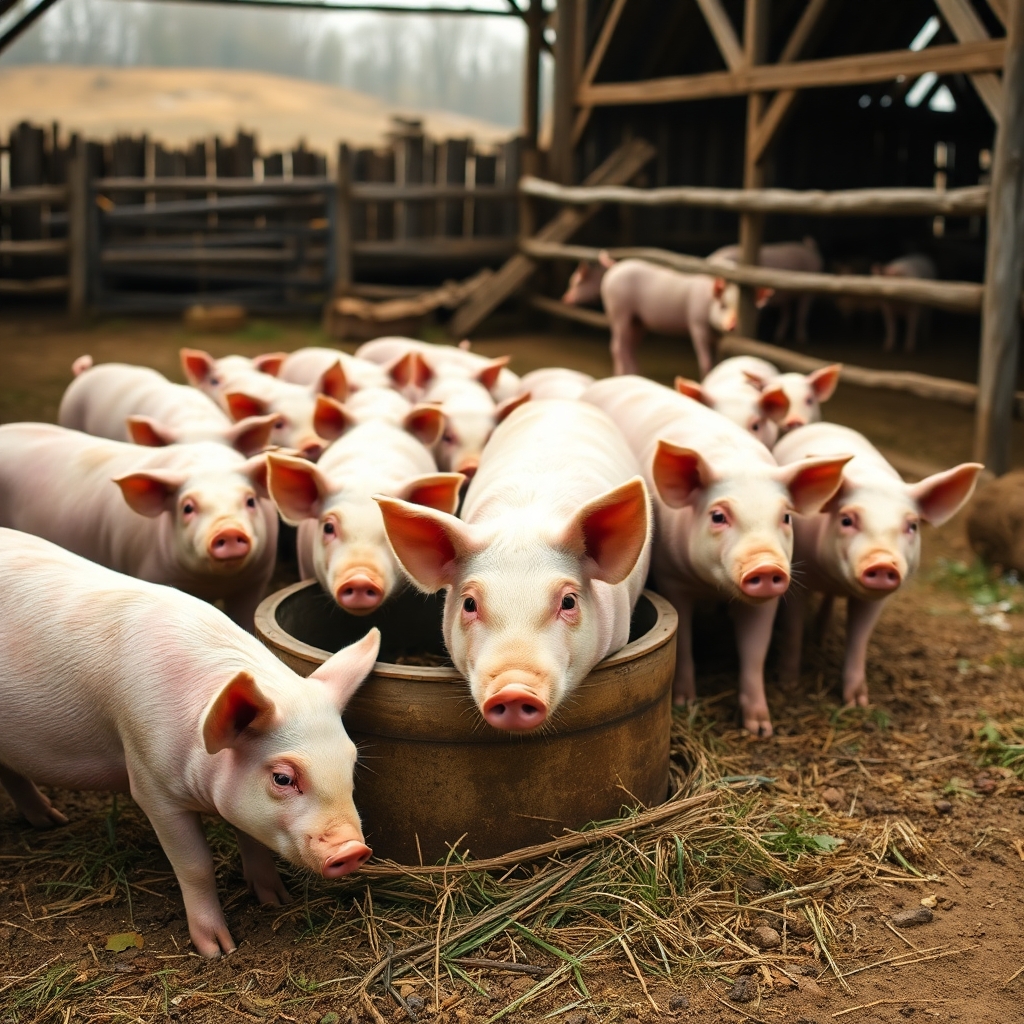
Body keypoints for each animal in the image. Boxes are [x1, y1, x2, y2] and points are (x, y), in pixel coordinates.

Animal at [0, 424, 277, 630]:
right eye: (187, 507)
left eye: (250, 500)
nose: (229, 531)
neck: (212, 583)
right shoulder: (150, 571)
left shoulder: (256, 580)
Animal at [0, 528, 378, 957]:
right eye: (282, 778)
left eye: (350, 765)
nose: (354, 851)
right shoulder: (151, 785)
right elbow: (196, 866)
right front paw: (220, 950)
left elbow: (252, 840)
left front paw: (276, 900)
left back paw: (51, 820)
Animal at [584, 376, 851, 737]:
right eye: (718, 516)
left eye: (785, 517)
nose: (765, 565)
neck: (714, 586)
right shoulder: (671, 578)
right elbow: (684, 643)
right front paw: (686, 703)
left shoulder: (767, 600)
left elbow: (754, 652)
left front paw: (760, 728)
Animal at [599, 257, 772, 379]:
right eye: (723, 305)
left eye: (740, 309)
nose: (732, 325)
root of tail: (614, 268)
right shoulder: (696, 323)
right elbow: (705, 360)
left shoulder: (717, 336)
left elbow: (717, 360)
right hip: (619, 311)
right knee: (617, 346)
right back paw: (621, 375)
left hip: (638, 321)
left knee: (630, 346)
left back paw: (637, 374)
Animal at [773, 423, 981, 706]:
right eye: (847, 520)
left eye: (912, 525)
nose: (883, 562)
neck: (837, 581)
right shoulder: (800, 580)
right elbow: (793, 631)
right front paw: (788, 686)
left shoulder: (875, 600)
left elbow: (859, 639)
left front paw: (857, 703)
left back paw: (822, 635)